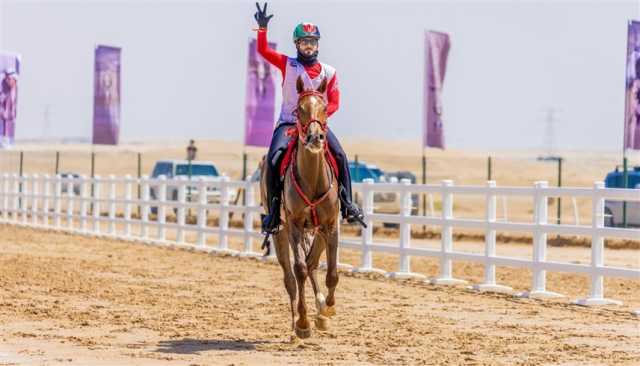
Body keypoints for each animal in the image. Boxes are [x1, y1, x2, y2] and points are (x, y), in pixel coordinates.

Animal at [258, 76, 340, 338]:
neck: (313, 178)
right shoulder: (294, 225)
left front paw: (327, 311)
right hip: (280, 232)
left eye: (324, 107)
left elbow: (331, 273)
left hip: (317, 231)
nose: (316, 138)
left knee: (313, 263)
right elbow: (300, 269)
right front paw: (303, 323)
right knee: (290, 278)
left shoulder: (330, 226)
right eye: (299, 109)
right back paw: (295, 324)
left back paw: (321, 311)